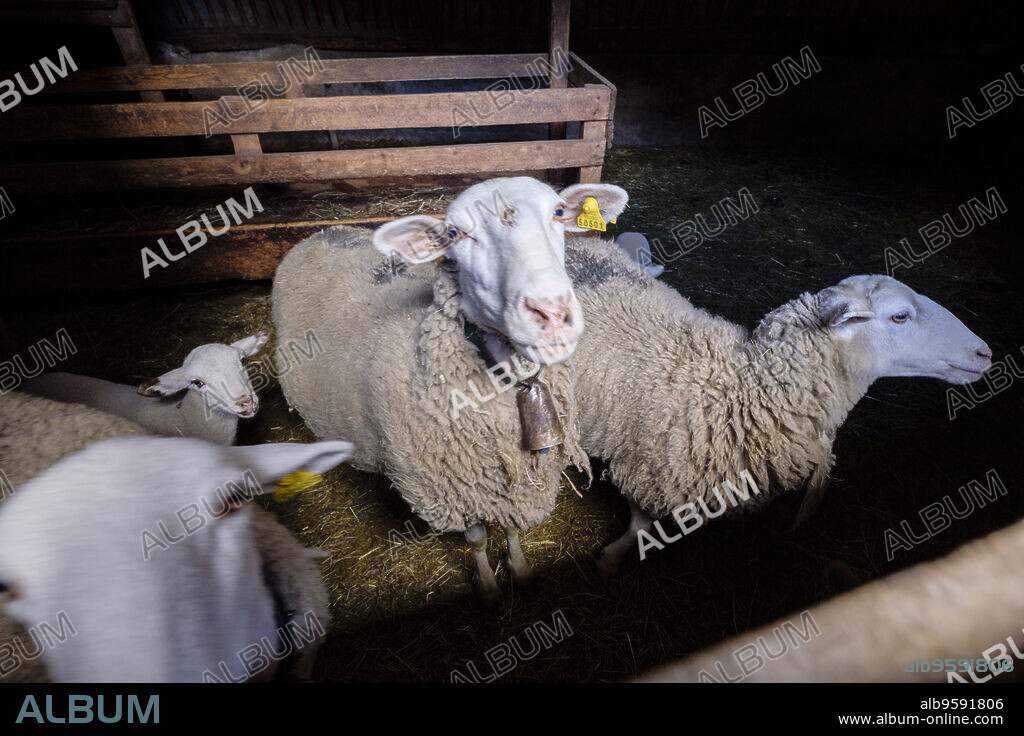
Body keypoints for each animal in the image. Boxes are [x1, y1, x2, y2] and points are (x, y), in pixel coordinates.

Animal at [273, 176, 629, 606]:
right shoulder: (453, 489)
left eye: (559, 212)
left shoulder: (510, 485)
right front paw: (488, 587)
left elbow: (511, 529)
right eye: (456, 234)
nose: (552, 312)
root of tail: (325, 230)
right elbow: (476, 539)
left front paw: (520, 570)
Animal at [564, 236, 993, 577]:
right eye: (900, 316)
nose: (984, 352)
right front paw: (612, 559)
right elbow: (640, 522)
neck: (742, 389)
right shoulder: (647, 465)